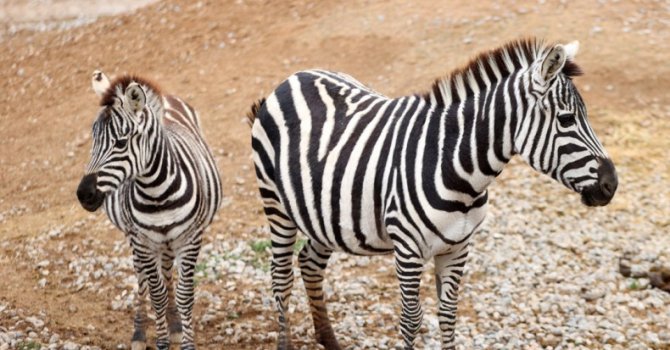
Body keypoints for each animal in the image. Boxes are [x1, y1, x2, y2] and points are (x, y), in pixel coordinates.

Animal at [76, 71, 223, 350]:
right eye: (93, 141)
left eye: (121, 143)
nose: (84, 195)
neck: (158, 194)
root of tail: (165, 98)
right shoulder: (142, 240)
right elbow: (157, 296)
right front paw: (161, 341)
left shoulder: (190, 239)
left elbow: (185, 295)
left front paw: (184, 340)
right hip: (138, 240)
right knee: (142, 278)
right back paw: (140, 333)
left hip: (168, 242)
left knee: (166, 273)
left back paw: (175, 325)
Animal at [251, 38, 620, 350]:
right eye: (567, 119)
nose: (611, 185)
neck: (460, 171)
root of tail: (293, 77)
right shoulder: (408, 249)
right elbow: (411, 320)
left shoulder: (458, 247)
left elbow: (448, 315)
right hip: (276, 205)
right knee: (281, 278)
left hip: (324, 214)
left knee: (310, 263)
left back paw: (329, 341)